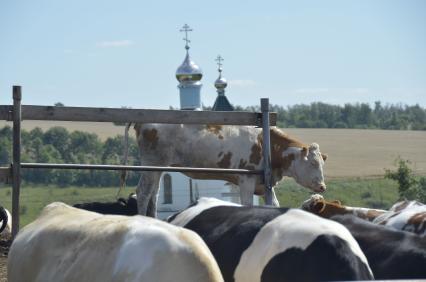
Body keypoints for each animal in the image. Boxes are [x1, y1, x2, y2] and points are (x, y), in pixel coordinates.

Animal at [135, 124, 328, 217]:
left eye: (321, 163)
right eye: (312, 163)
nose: (322, 187)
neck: (265, 144)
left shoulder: (266, 184)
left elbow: (274, 204)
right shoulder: (246, 180)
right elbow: (247, 204)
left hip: (158, 169)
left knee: (154, 194)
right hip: (151, 164)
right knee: (143, 193)